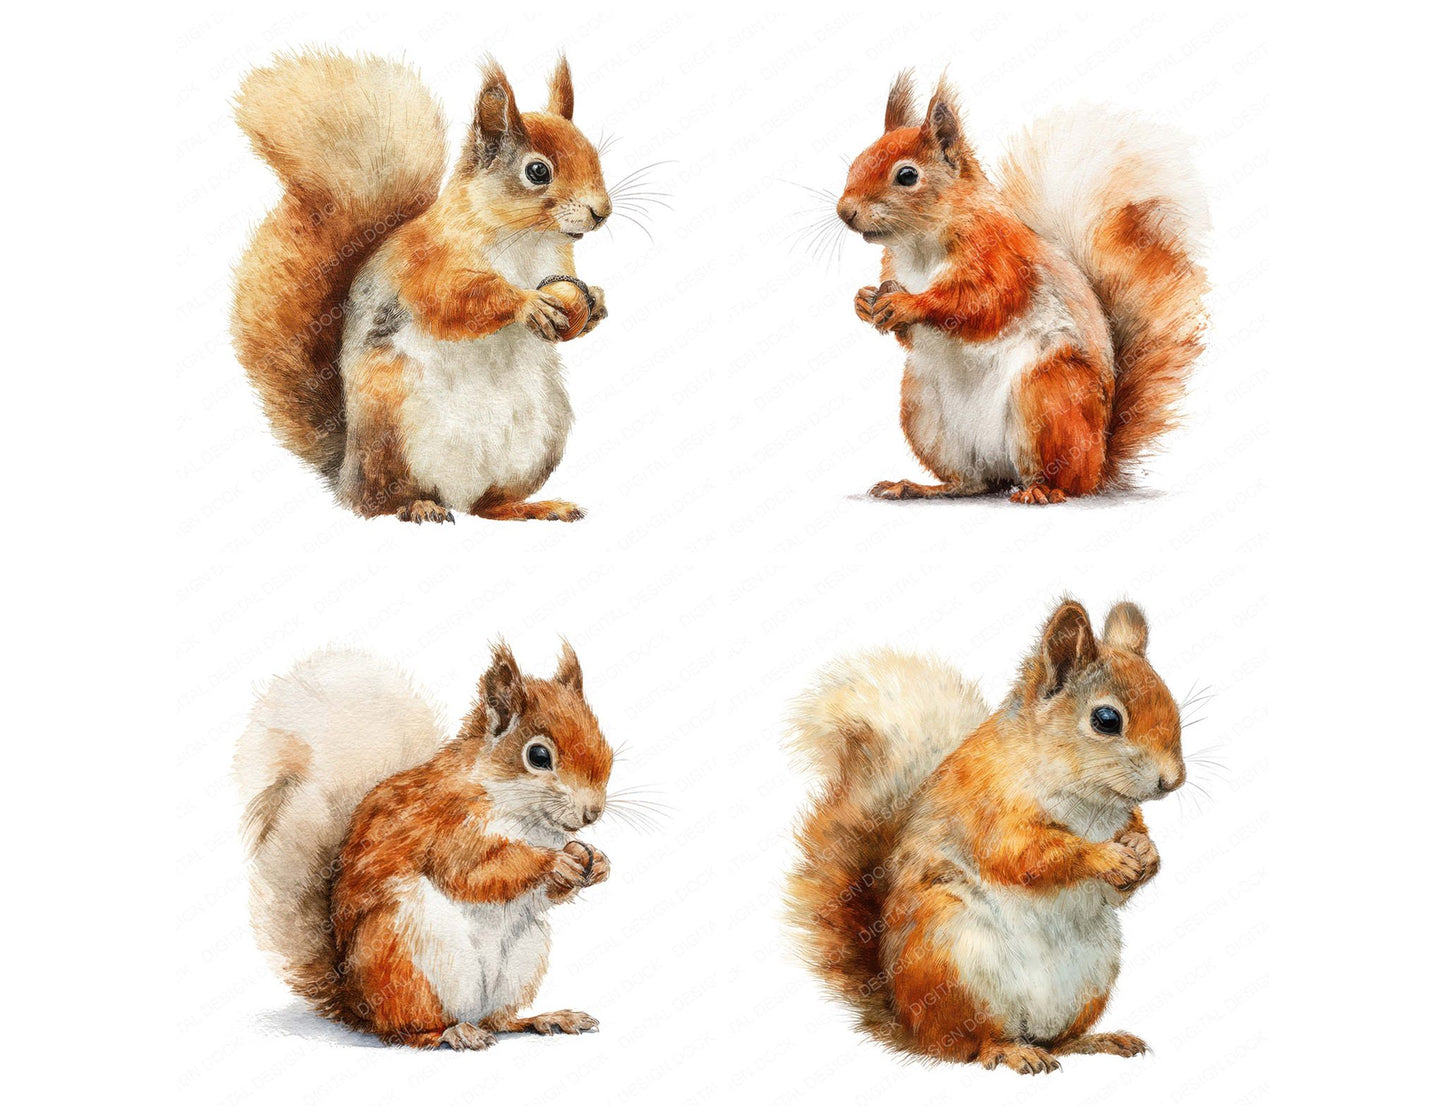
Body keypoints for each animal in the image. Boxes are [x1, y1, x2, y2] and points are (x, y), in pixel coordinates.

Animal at [231, 51, 612, 523]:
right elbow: (455, 302)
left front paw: (596, 303)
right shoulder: (428, 266)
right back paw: (420, 506)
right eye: (537, 171)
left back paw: (534, 507)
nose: (602, 211)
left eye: (592, 153)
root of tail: (346, 471)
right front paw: (526, 303)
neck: (527, 240)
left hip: (540, 438)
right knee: (378, 503)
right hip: (392, 432)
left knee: (488, 505)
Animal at [234, 642, 614, 1049]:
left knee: (499, 1020)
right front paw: (555, 862)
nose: (592, 812)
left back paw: (543, 1018)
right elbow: (474, 875)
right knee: (407, 1029)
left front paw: (595, 860)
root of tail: (355, 1004)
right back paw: (452, 1032)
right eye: (538, 756)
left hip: (522, 959)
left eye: (606, 747)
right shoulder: (448, 829)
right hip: (406, 958)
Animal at [785, 599, 1185, 1073]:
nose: (1173, 780)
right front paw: (1107, 858)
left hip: (1091, 976)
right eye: (1106, 719)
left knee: (1055, 1039)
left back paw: (1093, 1040)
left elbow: (1122, 870)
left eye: (1172, 703)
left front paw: (1145, 851)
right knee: (972, 1046)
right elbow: (1026, 856)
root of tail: (910, 1024)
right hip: (956, 963)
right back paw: (1011, 1051)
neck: (1093, 801)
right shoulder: (992, 814)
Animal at [837, 73, 1209, 504]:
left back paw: (1041, 490)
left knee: (1066, 483)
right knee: (973, 482)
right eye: (856, 161)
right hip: (924, 410)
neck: (918, 246)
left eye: (907, 175)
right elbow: (908, 335)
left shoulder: (1003, 260)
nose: (844, 212)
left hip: (1048, 394)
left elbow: (980, 304)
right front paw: (863, 301)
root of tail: (1099, 463)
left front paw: (908, 304)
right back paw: (917, 486)